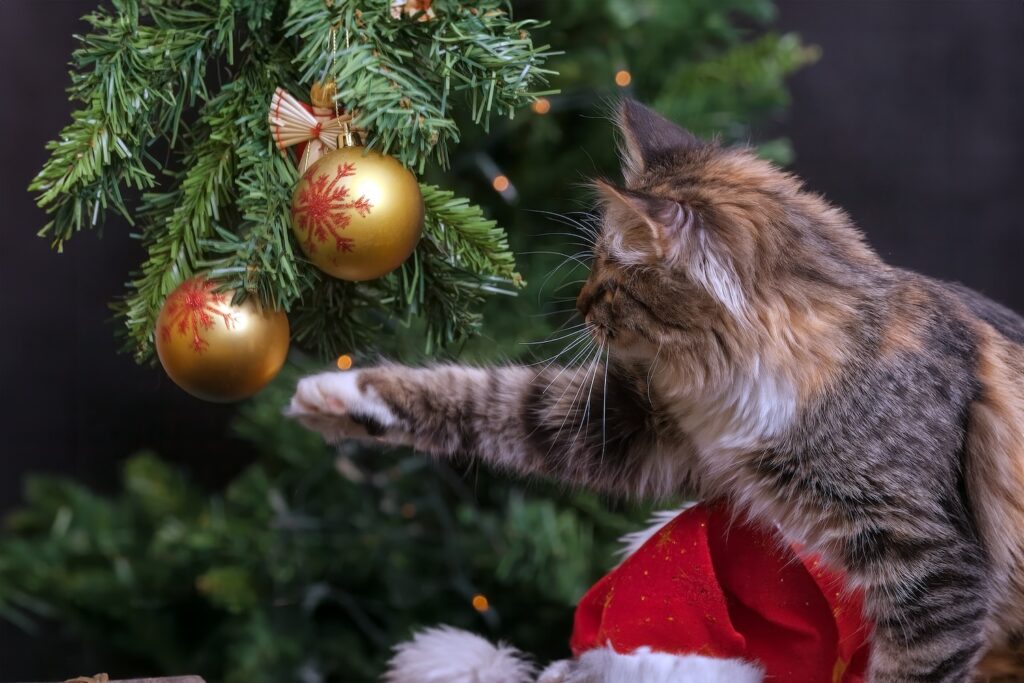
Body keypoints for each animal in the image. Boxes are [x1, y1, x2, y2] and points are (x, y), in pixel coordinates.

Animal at [286, 101, 1024, 683]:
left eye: (611, 278)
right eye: (592, 267)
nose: (579, 304)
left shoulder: (934, 571)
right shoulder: (641, 428)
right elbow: (483, 396)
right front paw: (336, 394)